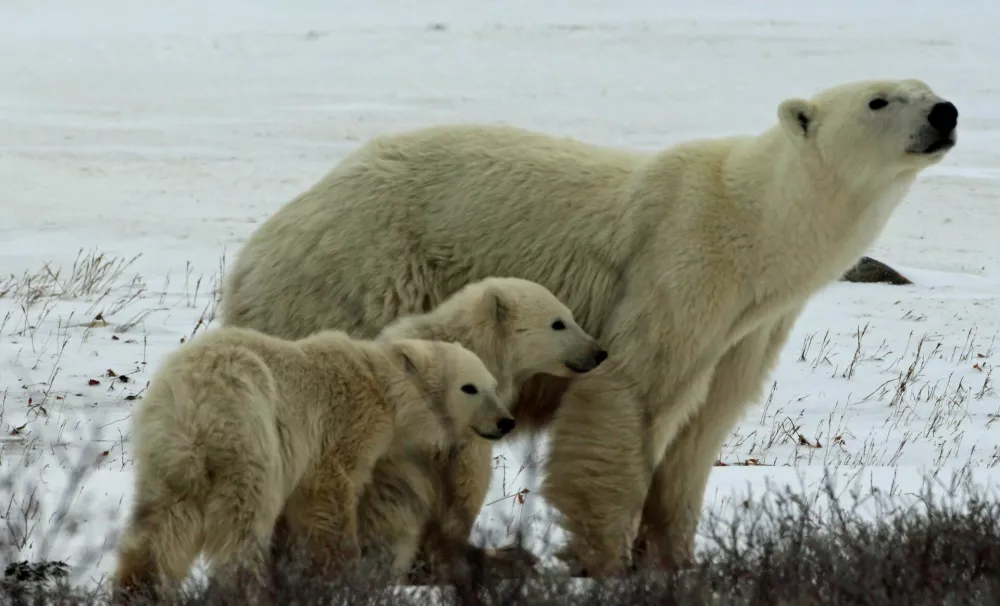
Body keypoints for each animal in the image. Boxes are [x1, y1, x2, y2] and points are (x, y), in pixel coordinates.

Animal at [112, 326, 513, 601]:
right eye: (469, 387)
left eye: (494, 385)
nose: (505, 421)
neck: (380, 385)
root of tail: (195, 403)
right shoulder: (342, 425)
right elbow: (329, 493)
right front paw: (344, 572)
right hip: (249, 443)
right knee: (242, 526)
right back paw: (250, 590)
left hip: (166, 453)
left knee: (161, 523)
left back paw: (138, 589)